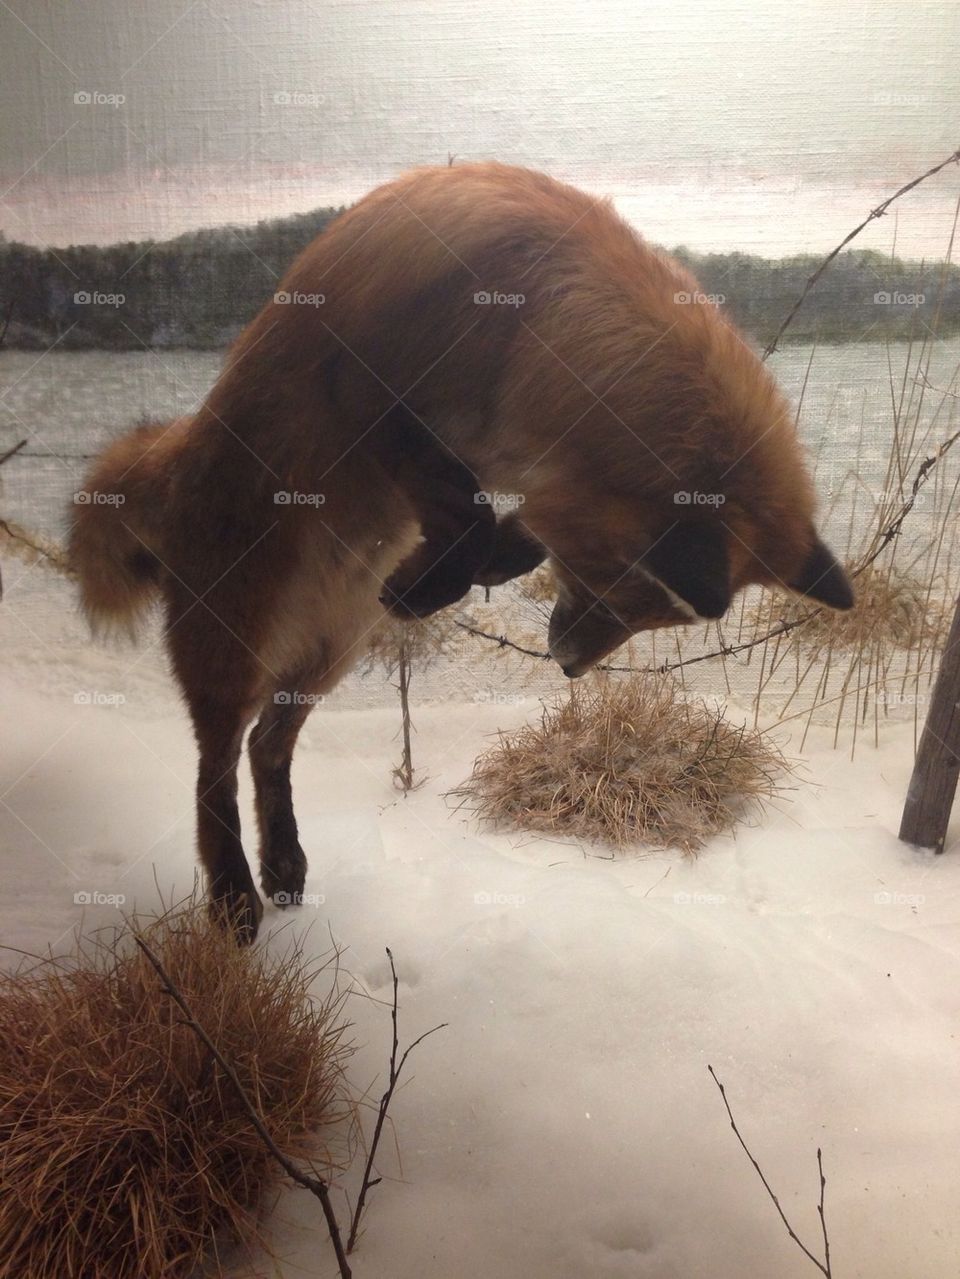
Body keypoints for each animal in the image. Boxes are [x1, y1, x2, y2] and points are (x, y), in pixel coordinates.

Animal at [70, 161, 852, 942]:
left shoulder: (510, 459)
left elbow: (502, 520)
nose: (568, 666)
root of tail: (171, 457)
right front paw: (432, 581)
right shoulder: (370, 395)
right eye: (606, 591)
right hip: (235, 648)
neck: (533, 316)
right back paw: (233, 894)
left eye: (643, 618)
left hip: (326, 656)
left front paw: (466, 569)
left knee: (268, 747)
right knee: (215, 769)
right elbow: (472, 510)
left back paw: (285, 862)